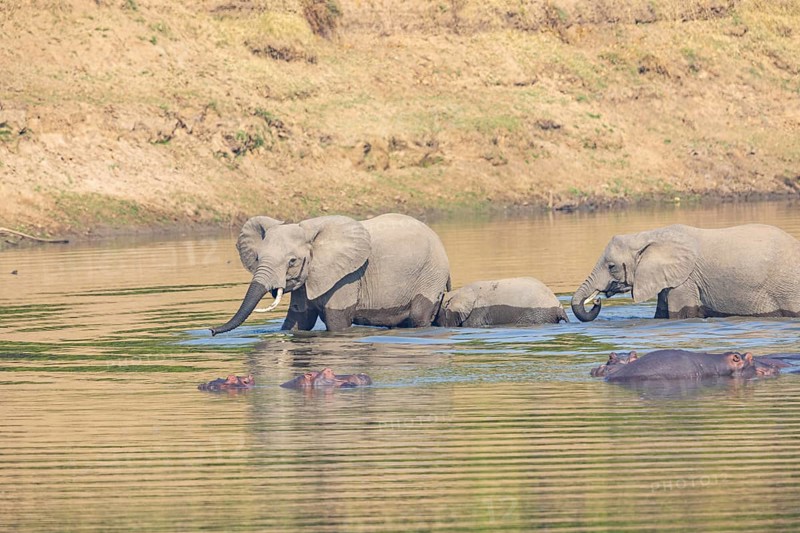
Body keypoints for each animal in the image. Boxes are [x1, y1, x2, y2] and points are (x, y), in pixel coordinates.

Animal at [210, 213, 451, 334]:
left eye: (292, 261)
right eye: (258, 258)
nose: (211, 330)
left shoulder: (347, 276)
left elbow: (336, 320)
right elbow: (299, 320)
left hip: (431, 273)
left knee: (419, 317)